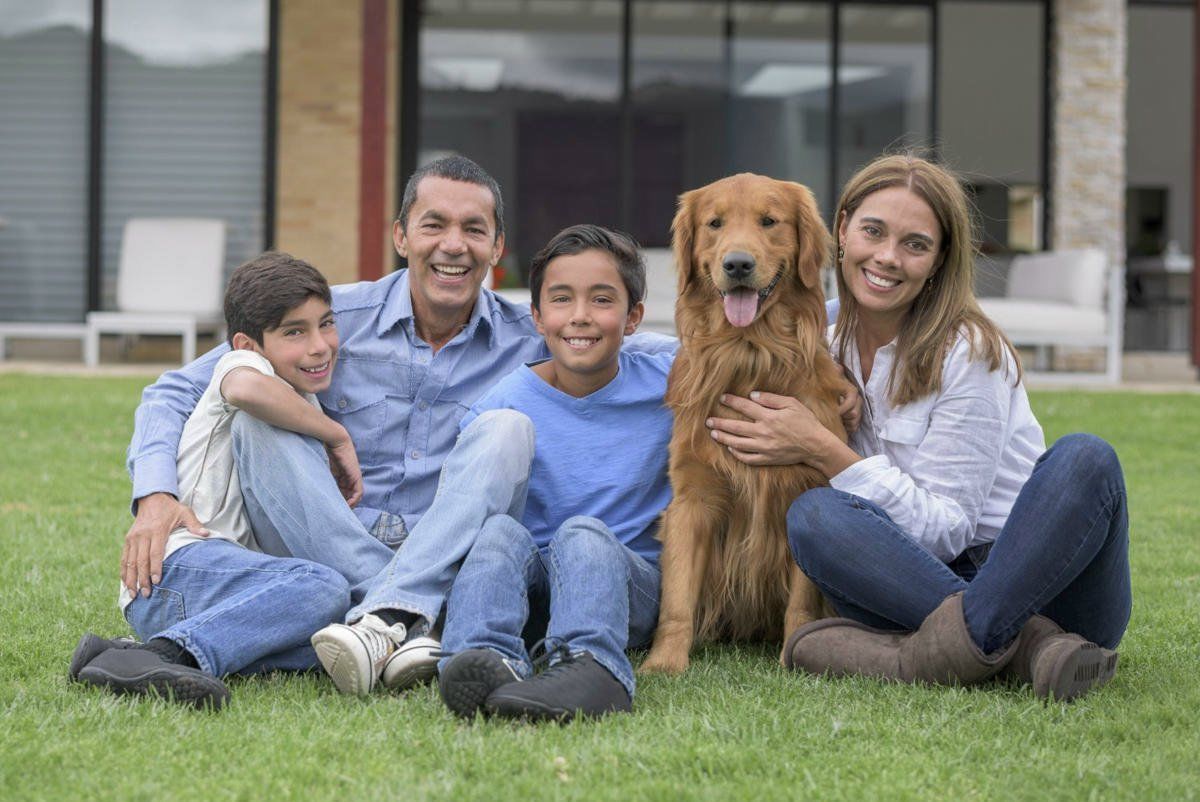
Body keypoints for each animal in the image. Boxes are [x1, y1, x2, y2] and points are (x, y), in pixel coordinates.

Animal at [643, 172, 849, 672]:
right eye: (714, 223)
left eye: (769, 221)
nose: (737, 264)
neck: (749, 353)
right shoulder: (692, 498)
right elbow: (677, 599)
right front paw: (664, 663)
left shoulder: (804, 491)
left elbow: (802, 602)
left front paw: (794, 659)